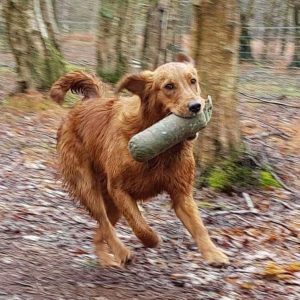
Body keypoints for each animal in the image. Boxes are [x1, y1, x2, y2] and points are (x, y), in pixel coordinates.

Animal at [50, 54, 229, 268]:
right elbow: (139, 226)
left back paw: (106, 259)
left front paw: (214, 254)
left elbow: (199, 226)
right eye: (169, 86)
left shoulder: (181, 193)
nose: (196, 106)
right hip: (87, 184)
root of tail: (88, 101)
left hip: (110, 201)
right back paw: (121, 252)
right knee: (104, 221)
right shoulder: (119, 189)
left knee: (100, 230)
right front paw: (153, 239)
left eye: (193, 81)